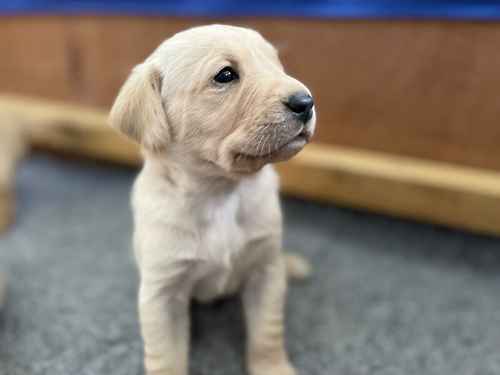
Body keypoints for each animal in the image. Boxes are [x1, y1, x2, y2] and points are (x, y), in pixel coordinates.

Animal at [110, 24, 316, 375]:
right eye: (225, 75)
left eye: (275, 64)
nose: (306, 102)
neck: (219, 191)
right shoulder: (162, 293)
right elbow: (165, 356)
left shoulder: (265, 271)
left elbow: (267, 332)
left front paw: (272, 367)